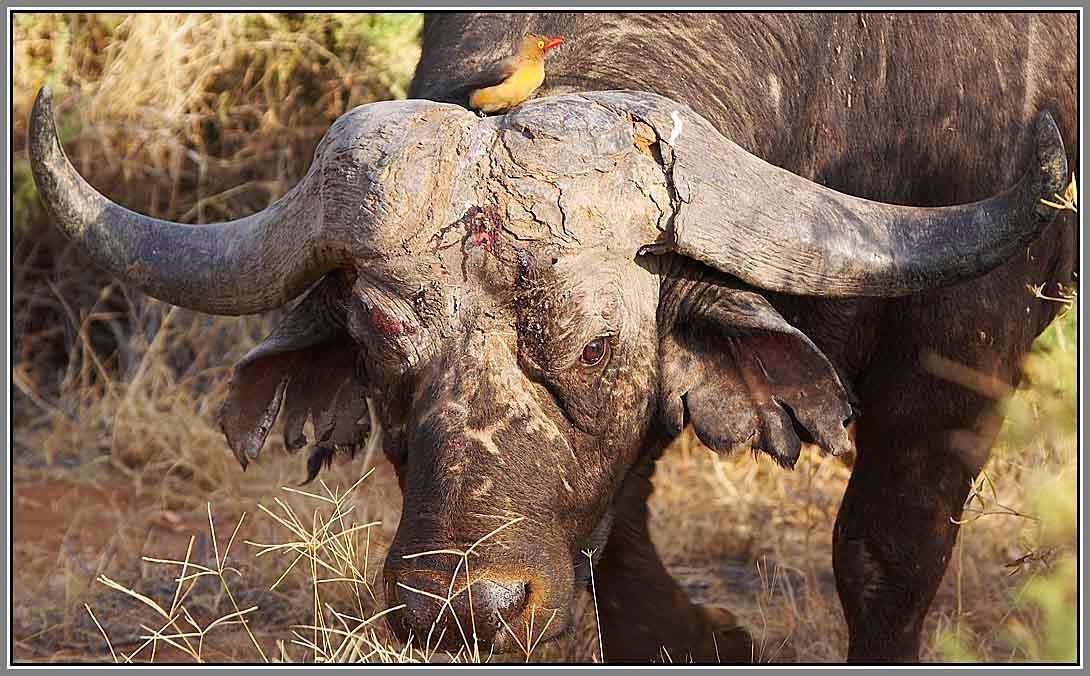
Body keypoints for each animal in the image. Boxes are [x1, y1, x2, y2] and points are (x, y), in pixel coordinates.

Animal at [29, 12, 1076, 663]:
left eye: (596, 348)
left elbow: (884, 555)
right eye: (378, 346)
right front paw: (700, 634)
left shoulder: (964, 348)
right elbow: (614, 541)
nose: (463, 610)